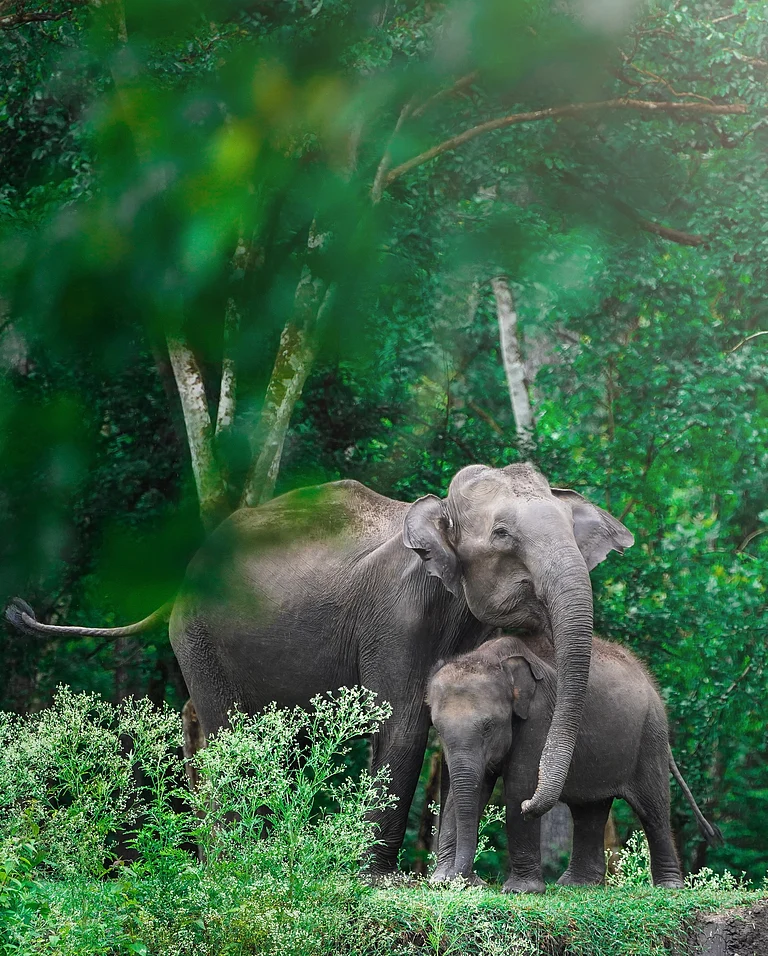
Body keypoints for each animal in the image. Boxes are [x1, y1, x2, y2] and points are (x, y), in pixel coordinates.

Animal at [6, 462, 633, 877]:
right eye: (503, 534)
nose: (529, 803)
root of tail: (182, 578)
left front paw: (438, 880)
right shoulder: (397, 618)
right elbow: (404, 725)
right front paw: (376, 880)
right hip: (199, 634)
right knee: (229, 730)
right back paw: (234, 863)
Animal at [428, 632, 722, 891]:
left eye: (489, 726)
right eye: (437, 729)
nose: (466, 880)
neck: (491, 658)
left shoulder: (540, 718)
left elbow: (519, 784)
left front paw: (520, 890)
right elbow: (468, 792)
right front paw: (442, 882)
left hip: (650, 737)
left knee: (653, 809)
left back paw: (669, 886)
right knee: (589, 811)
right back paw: (578, 884)